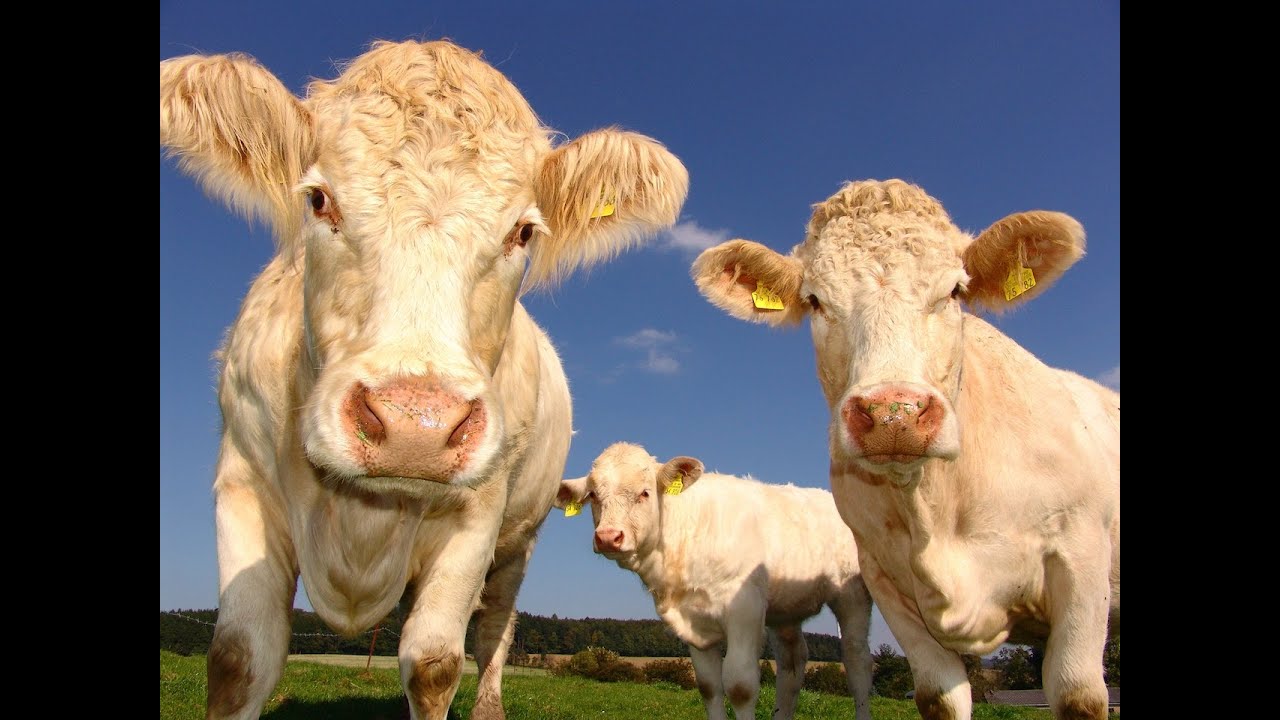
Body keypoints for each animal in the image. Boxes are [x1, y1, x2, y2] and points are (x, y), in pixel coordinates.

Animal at [159, 40, 688, 720]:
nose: (416, 425)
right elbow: (238, 656)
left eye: (523, 231)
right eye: (319, 199)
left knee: (493, 629)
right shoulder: (243, 481)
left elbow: (435, 663)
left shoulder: (479, 517)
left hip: (518, 542)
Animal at [556, 442, 875, 720]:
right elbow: (709, 687)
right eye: (593, 495)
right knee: (792, 663)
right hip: (785, 609)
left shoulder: (744, 610)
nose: (608, 537)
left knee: (857, 661)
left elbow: (740, 686)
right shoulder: (693, 624)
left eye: (645, 493)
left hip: (852, 595)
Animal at [691, 179, 1119, 720]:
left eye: (954, 290)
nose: (894, 413)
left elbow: (1078, 693)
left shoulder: (1081, 559)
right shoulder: (887, 581)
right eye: (815, 300)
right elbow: (938, 697)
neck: (937, 506)